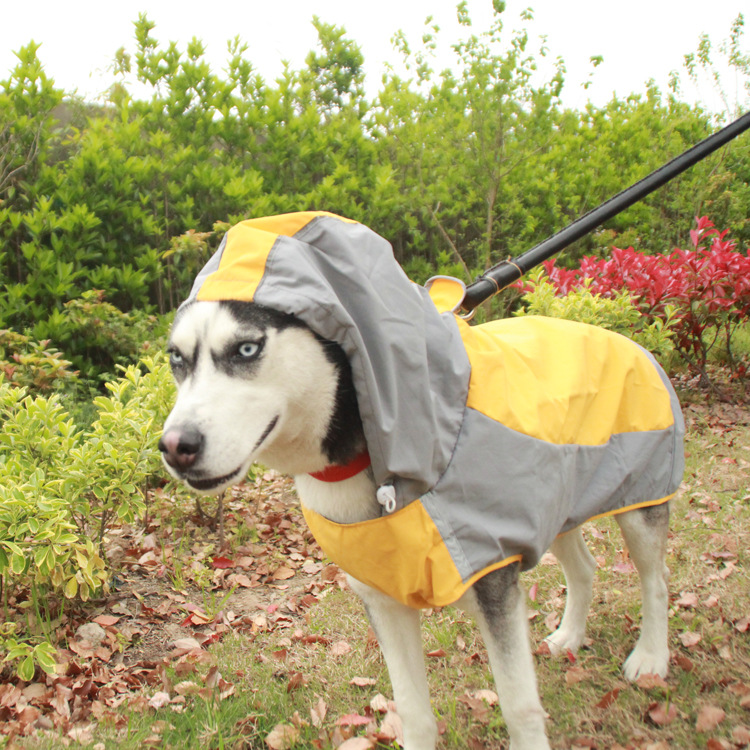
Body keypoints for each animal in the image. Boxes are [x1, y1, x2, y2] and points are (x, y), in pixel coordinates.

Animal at [160, 212, 688, 750]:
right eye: (176, 359)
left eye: (247, 347)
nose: (175, 446)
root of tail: (622, 338)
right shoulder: (383, 599)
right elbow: (413, 712)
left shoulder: (494, 586)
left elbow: (519, 707)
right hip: (553, 507)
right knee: (584, 569)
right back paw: (571, 635)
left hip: (640, 503)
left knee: (656, 581)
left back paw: (651, 657)